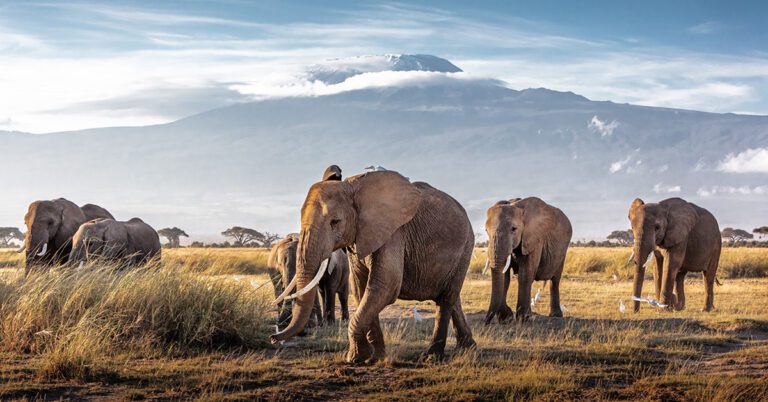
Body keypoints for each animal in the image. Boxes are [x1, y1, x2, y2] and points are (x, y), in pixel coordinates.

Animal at [270, 169, 476, 363]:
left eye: (335, 222)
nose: (273, 337)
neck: (352, 186)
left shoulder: (394, 233)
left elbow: (384, 286)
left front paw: (355, 358)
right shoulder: (358, 238)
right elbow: (362, 289)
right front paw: (374, 358)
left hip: (466, 246)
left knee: (446, 299)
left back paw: (432, 357)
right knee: (451, 297)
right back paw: (468, 347)